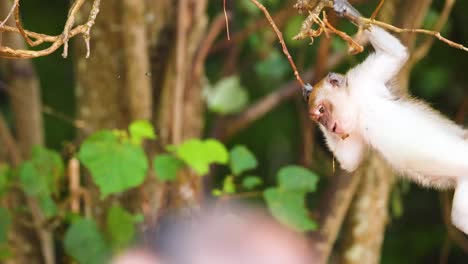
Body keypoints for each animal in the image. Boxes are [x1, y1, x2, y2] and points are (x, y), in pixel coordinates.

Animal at [304, 0, 468, 235]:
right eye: (318, 118)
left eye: (322, 111)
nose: (327, 124)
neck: (357, 106)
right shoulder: (352, 128)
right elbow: (350, 161)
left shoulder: (363, 80)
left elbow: (396, 54)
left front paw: (347, 12)